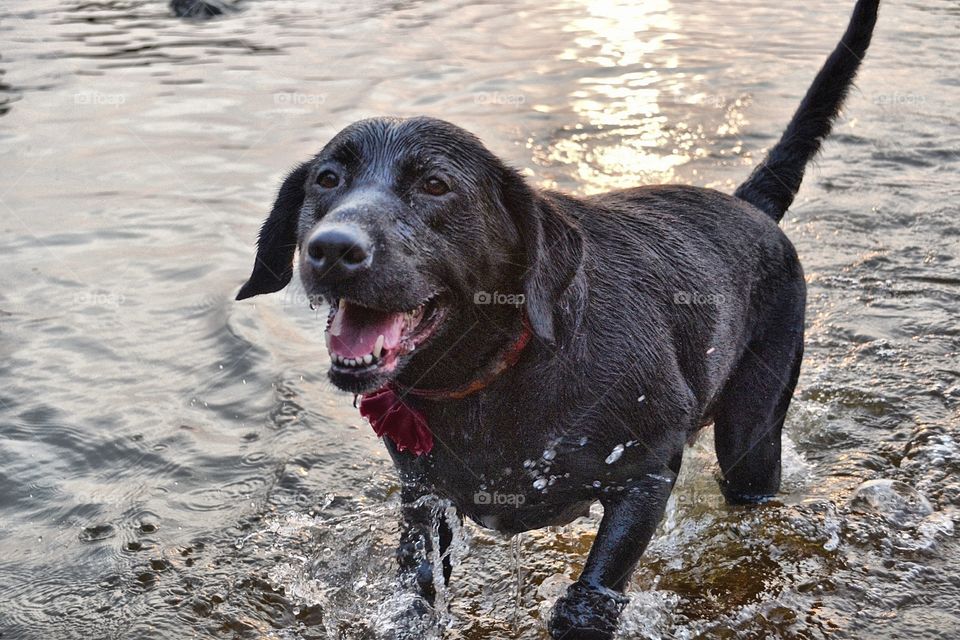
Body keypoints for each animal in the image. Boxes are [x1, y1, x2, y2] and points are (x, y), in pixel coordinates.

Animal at [238, 3, 876, 636]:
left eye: (435, 184)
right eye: (327, 179)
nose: (331, 248)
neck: (494, 377)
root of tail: (750, 203)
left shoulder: (645, 472)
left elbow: (593, 589)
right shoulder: (424, 495)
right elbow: (417, 590)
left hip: (753, 436)